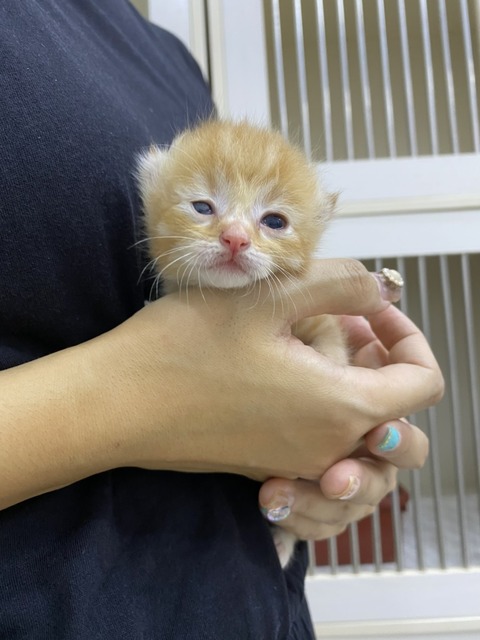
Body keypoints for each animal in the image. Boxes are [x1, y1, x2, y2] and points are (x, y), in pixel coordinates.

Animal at [136, 119, 349, 568]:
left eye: (274, 221)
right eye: (202, 208)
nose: (235, 238)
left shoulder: (317, 314)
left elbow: (330, 336)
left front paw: (333, 364)